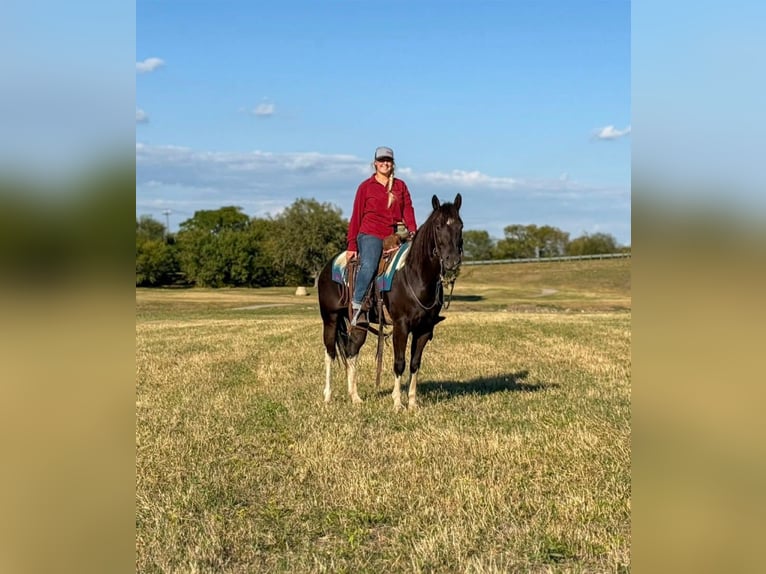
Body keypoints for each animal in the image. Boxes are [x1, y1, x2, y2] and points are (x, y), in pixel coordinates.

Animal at [317, 193, 463, 410]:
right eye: (438, 226)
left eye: (460, 225)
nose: (452, 260)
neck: (415, 276)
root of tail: (328, 266)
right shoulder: (401, 326)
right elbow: (399, 362)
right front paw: (397, 403)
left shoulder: (424, 329)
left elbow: (414, 364)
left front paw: (412, 403)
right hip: (330, 319)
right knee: (330, 353)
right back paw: (327, 396)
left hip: (359, 323)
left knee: (351, 351)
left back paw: (355, 397)